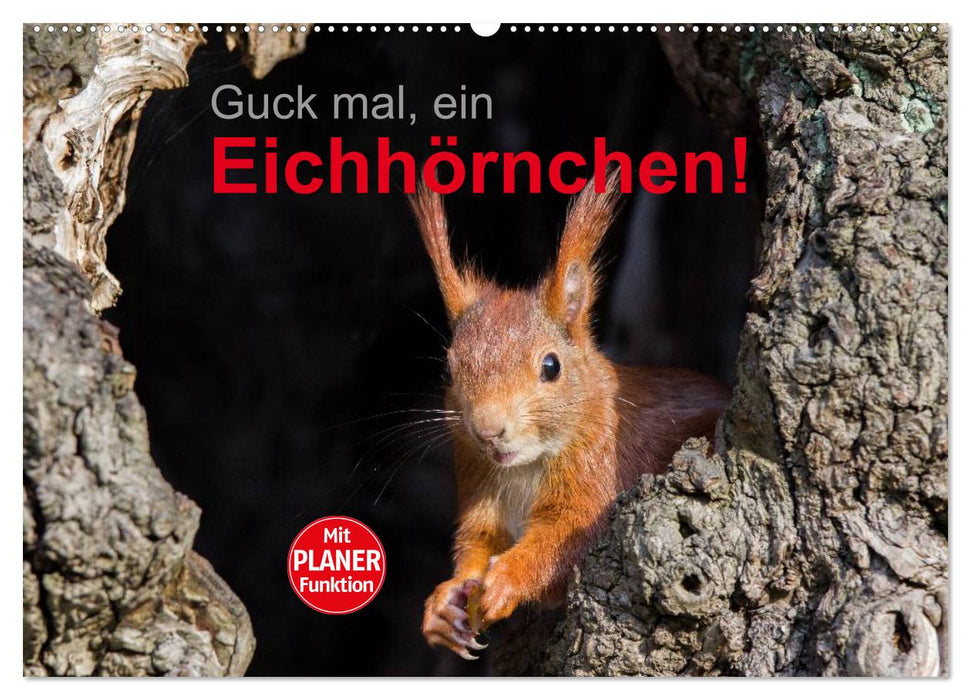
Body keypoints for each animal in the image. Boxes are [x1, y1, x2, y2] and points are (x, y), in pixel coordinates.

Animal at [410, 172, 730, 660]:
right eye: (448, 370)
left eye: (551, 366)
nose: (488, 430)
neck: (524, 468)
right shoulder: (478, 481)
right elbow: (476, 542)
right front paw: (444, 604)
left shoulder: (599, 473)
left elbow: (565, 540)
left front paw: (507, 580)